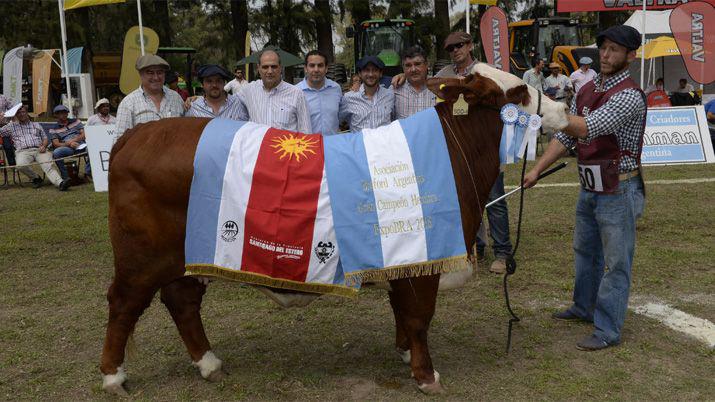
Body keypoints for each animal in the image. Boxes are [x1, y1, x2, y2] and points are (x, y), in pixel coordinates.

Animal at [102, 66, 572, 396]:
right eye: (519, 91)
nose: (564, 110)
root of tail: (137, 133)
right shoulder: (422, 260)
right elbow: (419, 316)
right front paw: (426, 374)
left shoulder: (401, 258)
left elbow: (402, 311)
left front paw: (404, 352)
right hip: (141, 256)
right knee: (124, 304)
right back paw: (113, 376)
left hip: (184, 255)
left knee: (181, 302)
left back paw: (209, 364)